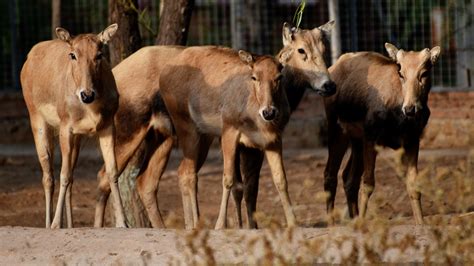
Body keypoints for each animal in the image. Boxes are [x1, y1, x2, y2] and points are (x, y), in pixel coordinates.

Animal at [20, 25, 128, 228]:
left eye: (100, 54)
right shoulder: (65, 126)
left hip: (77, 137)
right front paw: (55, 224)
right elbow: (63, 174)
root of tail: (28, 60)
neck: (90, 109)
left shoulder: (108, 125)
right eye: (73, 54)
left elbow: (112, 171)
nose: (87, 94)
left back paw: (69, 224)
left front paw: (123, 223)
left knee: (71, 176)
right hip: (36, 117)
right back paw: (49, 224)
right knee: (48, 175)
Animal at [159, 46, 294, 230]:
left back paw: (191, 224)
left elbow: (280, 180)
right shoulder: (229, 131)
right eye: (254, 77)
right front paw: (220, 224)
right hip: (186, 126)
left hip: (205, 136)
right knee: (189, 173)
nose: (269, 112)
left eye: (279, 76)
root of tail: (162, 77)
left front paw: (293, 222)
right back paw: (196, 224)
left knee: (182, 171)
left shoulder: (273, 140)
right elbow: (228, 179)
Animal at [231, 21, 336, 229]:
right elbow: (240, 187)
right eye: (301, 50)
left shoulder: (255, 146)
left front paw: (252, 226)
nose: (328, 85)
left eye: (324, 49)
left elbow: (251, 187)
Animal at [322, 42, 440, 223]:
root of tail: (333, 67)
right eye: (401, 72)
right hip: (337, 129)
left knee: (349, 177)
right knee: (330, 174)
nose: (410, 109)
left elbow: (413, 185)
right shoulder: (372, 137)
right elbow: (368, 183)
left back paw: (354, 218)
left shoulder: (412, 140)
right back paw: (332, 223)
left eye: (424, 73)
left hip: (357, 140)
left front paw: (421, 222)